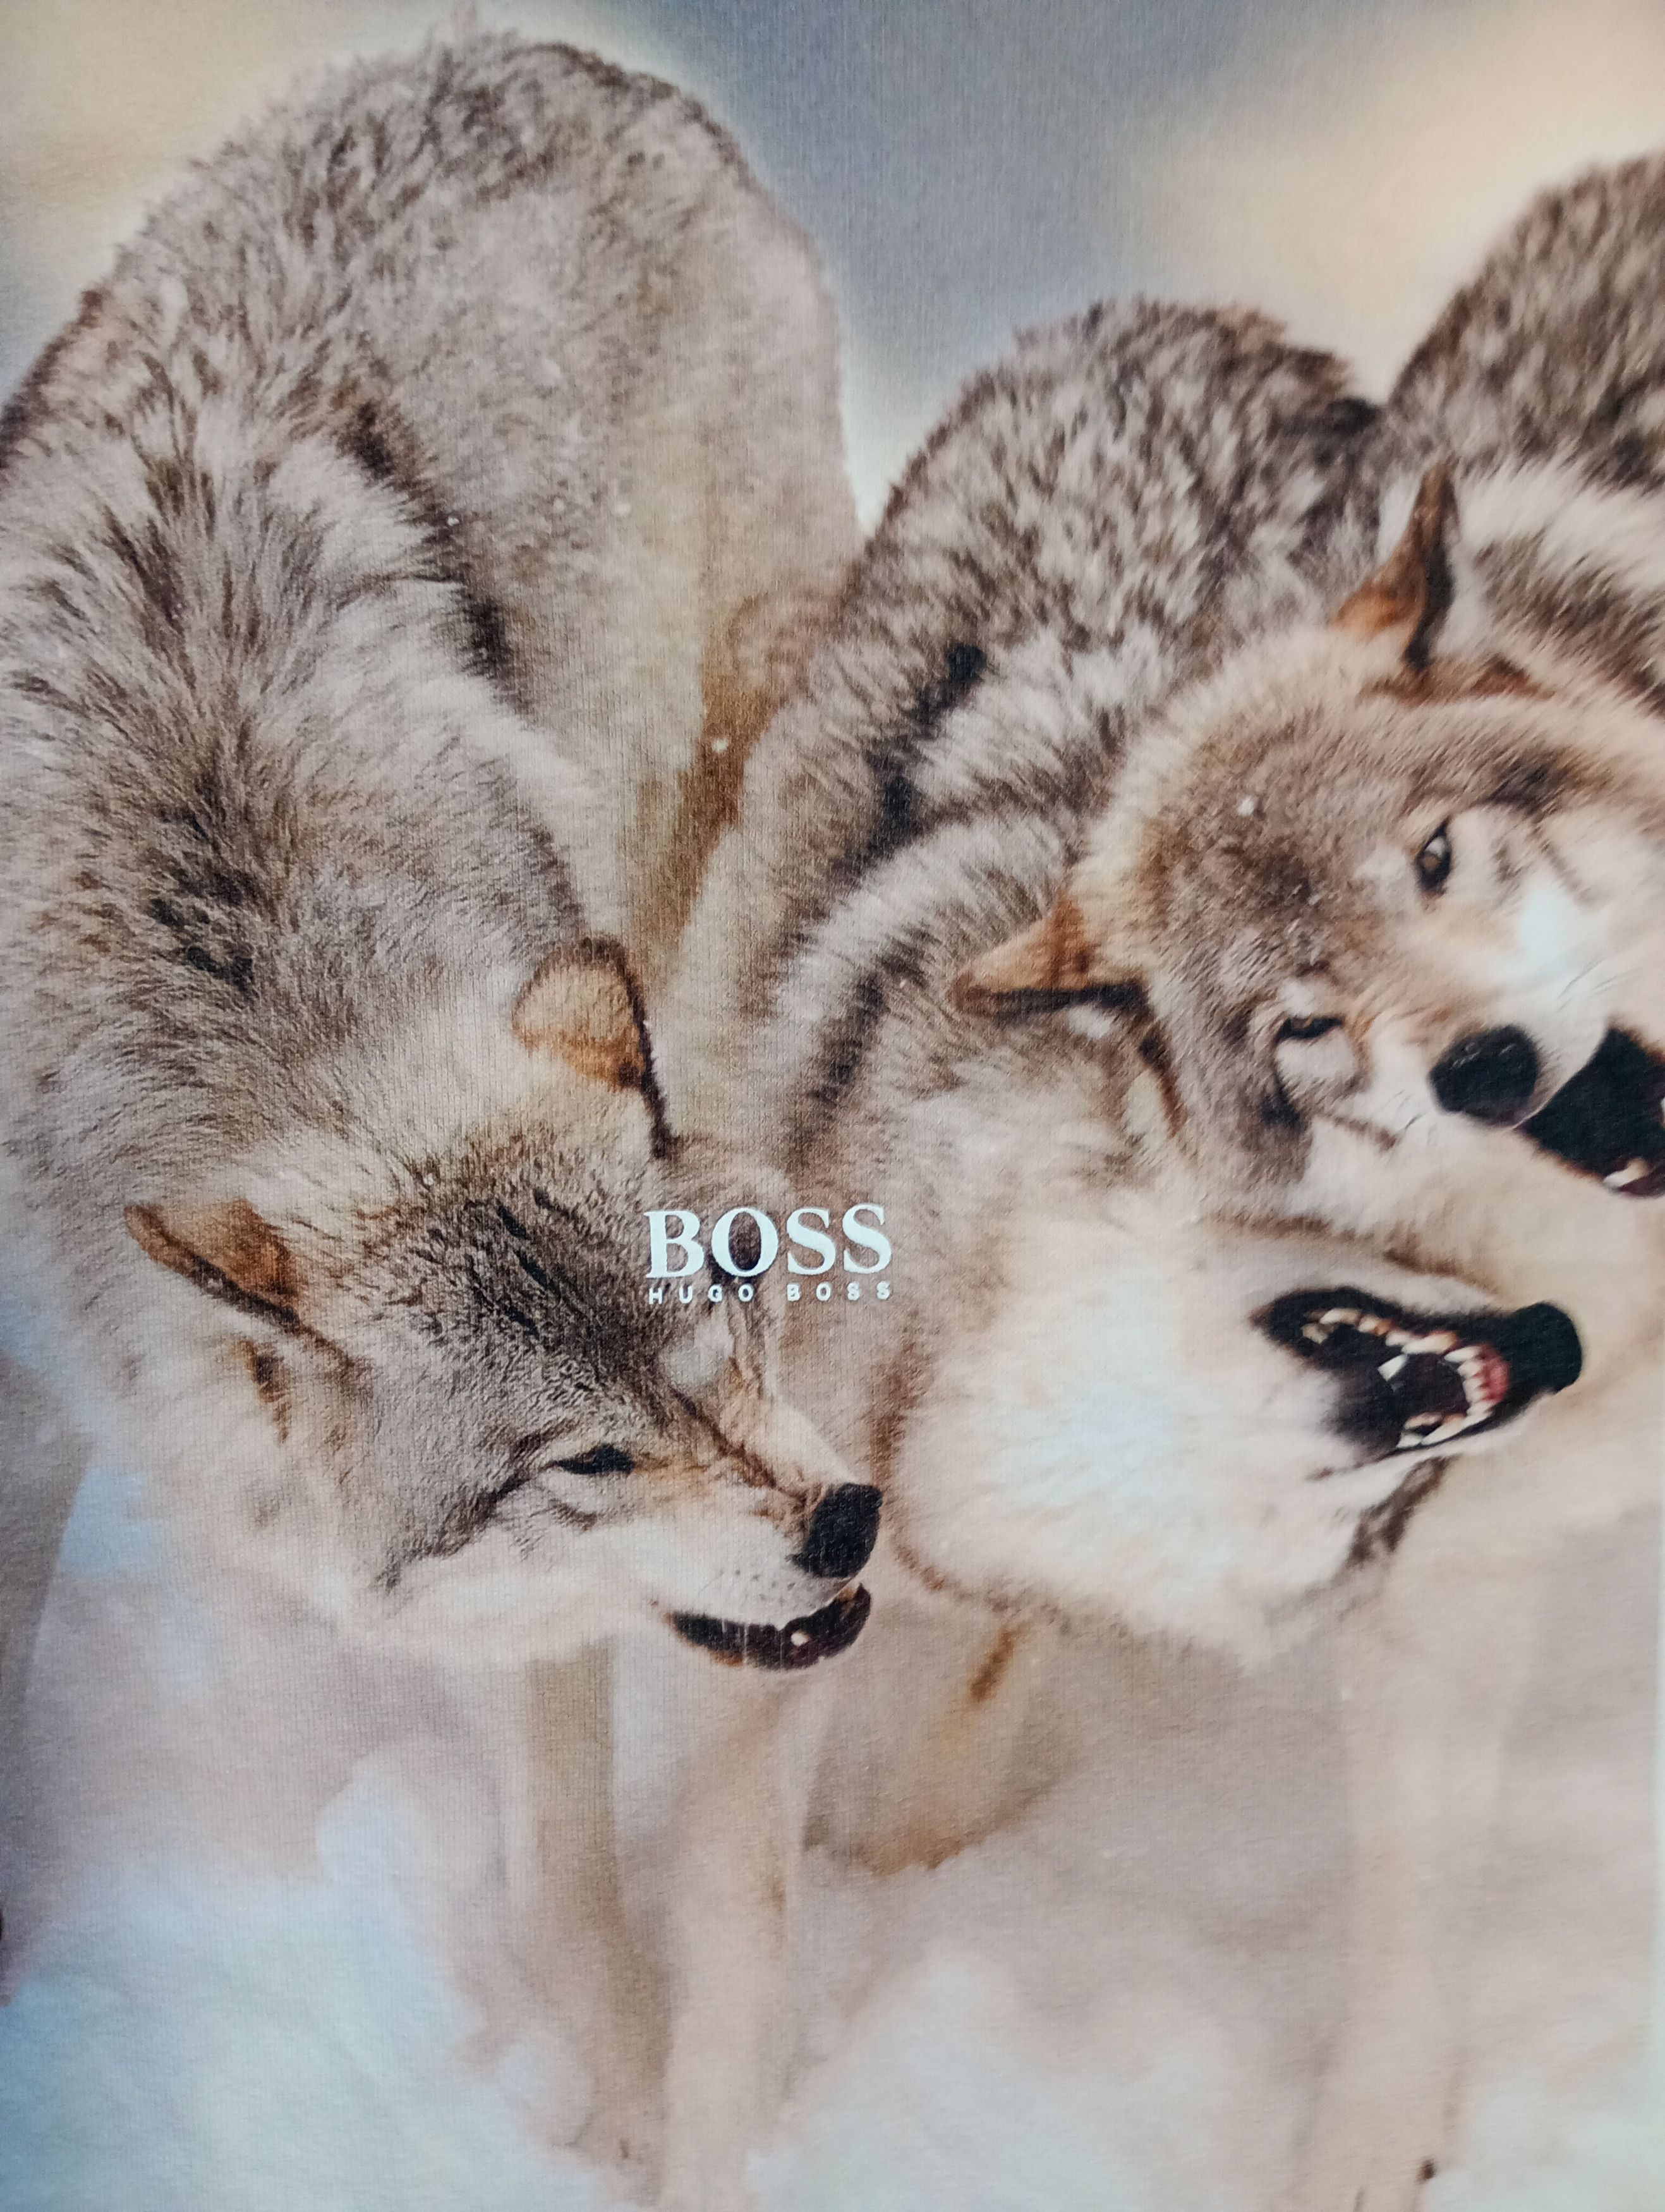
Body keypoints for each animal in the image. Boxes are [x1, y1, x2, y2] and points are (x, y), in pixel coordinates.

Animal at [0, 30, 872, 2197]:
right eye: (585, 1457)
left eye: (724, 1318)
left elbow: (568, 1872)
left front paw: (639, 2114)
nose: (841, 1519)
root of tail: (524, 52)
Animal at [662, 300, 1583, 2208]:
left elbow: (922, 1795)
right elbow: (745, 1913)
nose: (1543, 1350)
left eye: (1375, 1522)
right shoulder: (792, 1615)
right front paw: (699, 2145)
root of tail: (1214, 328)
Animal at [951, 167, 1665, 2209]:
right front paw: (1373, 2132)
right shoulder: (1442, 1578)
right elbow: (1408, 1898)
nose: (1481, 1065)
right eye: (1301, 1027)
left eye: (1429, 855)